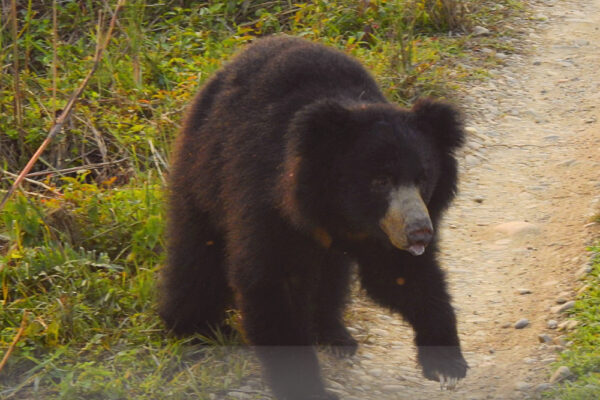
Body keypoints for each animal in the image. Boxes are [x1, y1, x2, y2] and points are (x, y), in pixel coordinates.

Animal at [161, 36, 468, 398]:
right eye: (380, 180)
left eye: (423, 178)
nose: (420, 233)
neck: (341, 214)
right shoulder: (268, 203)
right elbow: (271, 281)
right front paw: (305, 386)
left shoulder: (384, 230)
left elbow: (401, 275)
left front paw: (447, 364)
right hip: (203, 166)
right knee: (197, 251)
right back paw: (193, 329)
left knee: (330, 275)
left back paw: (335, 336)